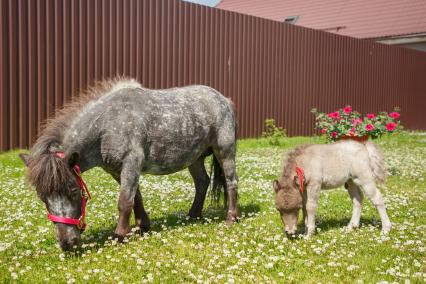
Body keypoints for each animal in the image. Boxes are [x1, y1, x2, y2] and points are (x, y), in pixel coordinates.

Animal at [20, 77, 238, 248]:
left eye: (74, 190)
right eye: (43, 197)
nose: (67, 243)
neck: (107, 123)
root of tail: (224, 100)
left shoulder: (131, 164)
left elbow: (124, 202)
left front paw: (119, 236)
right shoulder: (117, 170)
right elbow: (136, 198)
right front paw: (143, 227)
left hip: (224, 151)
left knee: (231, 181)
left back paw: (231, 218)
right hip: (195, 158)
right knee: (202, 182)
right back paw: (193, 215)